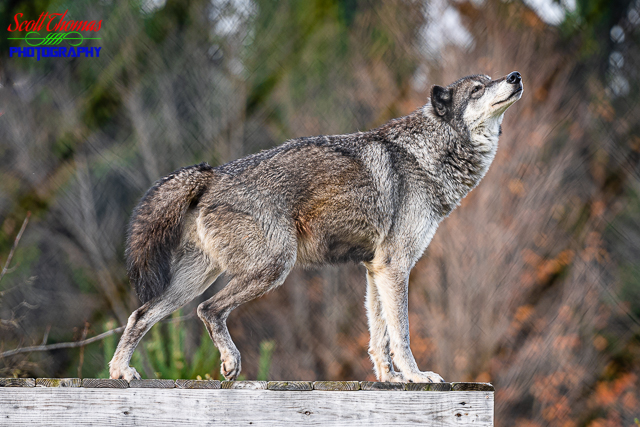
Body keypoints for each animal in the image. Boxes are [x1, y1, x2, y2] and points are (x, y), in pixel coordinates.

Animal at [109, 71, 523, 383]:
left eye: (490, 78)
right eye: (477, 89)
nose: (515, 76)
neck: (428, 155)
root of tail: (212, 174)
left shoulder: (376, 269)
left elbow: (379, 337)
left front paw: (390, 379)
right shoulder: (395, 267)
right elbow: (401, 334)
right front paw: (416, 377)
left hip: (194, 282)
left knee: (140, 315)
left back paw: (120, 372)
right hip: (273, 267)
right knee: (208, 310)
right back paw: (228, 362)